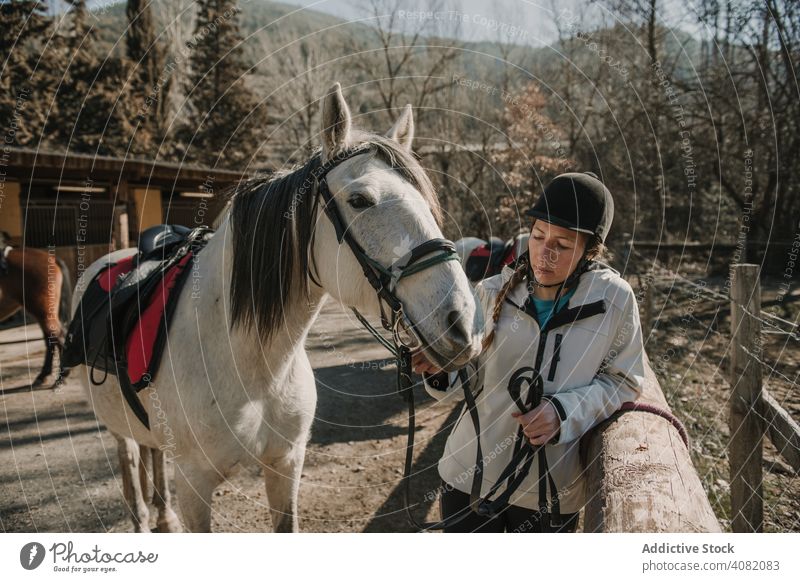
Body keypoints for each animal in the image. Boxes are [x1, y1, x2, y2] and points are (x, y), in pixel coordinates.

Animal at [0, 232, 72, 388]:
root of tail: (52, 259)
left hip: (42, 311)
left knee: (58, 337)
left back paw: (61, 377)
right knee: (51, 340)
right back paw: (44, 375)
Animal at [73, 82, 482, 532]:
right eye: (359, 200)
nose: (462, 321)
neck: (251, 361)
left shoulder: (286, 465)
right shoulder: (195, 486)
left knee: (154, 455)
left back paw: (164, 518)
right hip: (119, 432)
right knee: (131, 460)